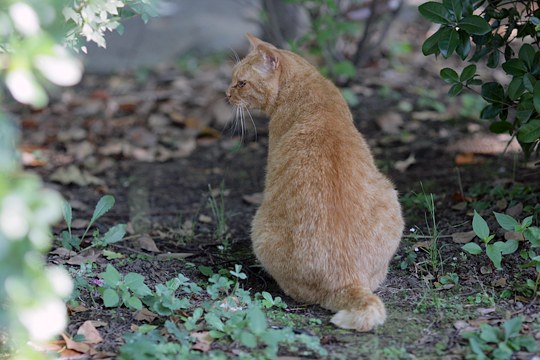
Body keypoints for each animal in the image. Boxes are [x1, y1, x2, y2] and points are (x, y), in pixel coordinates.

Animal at [226, 34, 402, 332]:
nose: (226, 95)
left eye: (241, 83)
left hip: (259, 230)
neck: (306, 82)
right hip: (391, 196)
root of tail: (348, 278)